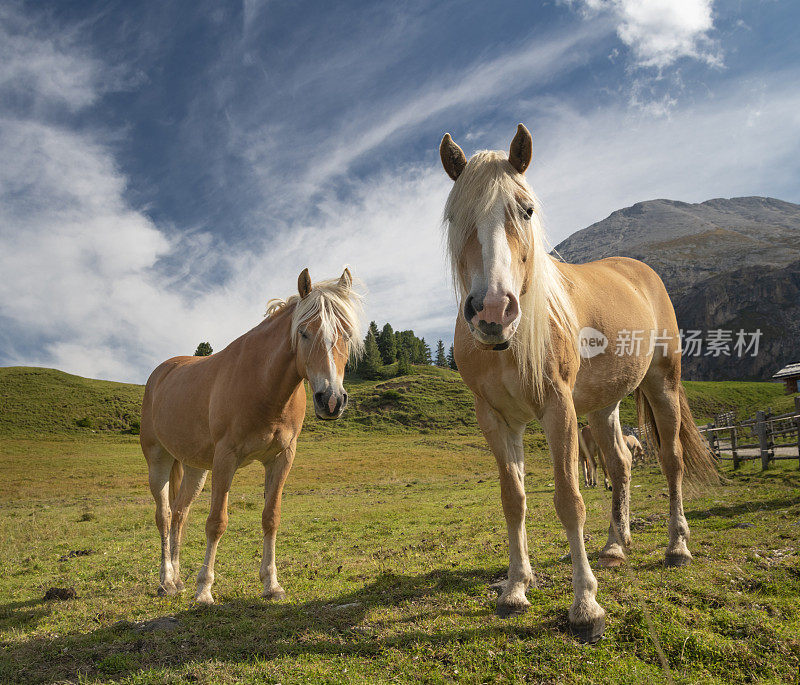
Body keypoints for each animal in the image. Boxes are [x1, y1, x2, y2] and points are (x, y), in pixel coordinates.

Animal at [139, 268, 364, 604]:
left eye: (347, 334)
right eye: (304, 332)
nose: (332, 400)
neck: (262, 384)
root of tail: (161, 372)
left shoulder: (281, 458)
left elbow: (271, 517)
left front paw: (271, 584)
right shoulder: (226, 458)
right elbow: (216, 523)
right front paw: (204, 590)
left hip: (195, 468)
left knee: (180, 513)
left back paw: (177, 580)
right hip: (159, 460)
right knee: (164, 515)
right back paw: (166, 581)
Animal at [440, 124, 716, 640]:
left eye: (526, 209)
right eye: (454, 216)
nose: (492, 311)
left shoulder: (558, 409)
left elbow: (570, 500)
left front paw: (585, 604)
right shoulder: (497, 420)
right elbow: (514, 501)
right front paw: (515, 588)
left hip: (661, 387)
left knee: (671, 463)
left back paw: (677, 547)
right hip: (604, 407)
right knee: (621, 465)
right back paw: (614, 546)